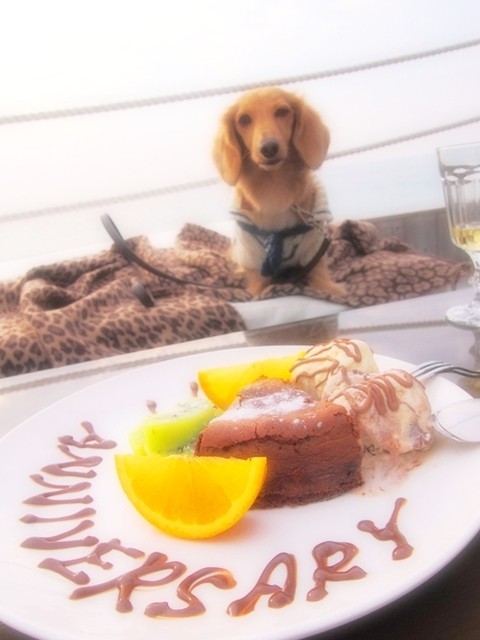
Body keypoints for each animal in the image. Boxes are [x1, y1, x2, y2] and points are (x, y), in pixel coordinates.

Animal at [213, 86, 343, 298]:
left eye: (282, 112)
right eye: (244, 119)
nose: (269, 148)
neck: (274, 191)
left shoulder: (314, 247)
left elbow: (319, 273)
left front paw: (330, 289)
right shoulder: (252, 256)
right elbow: (258, 285)